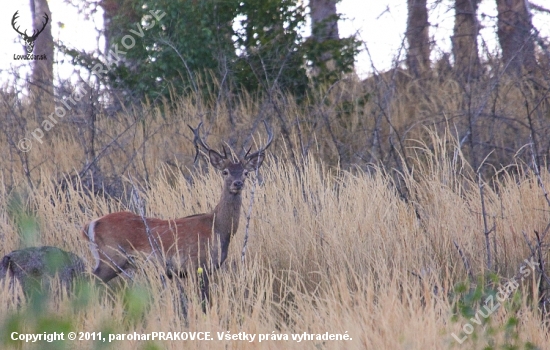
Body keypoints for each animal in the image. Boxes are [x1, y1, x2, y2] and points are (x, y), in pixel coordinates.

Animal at [82, 122, 274, 306]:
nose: (237, 183)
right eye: (225, 172)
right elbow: (204, 301)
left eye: (246, 172)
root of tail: (91, 224)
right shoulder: (197, 264)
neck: (218, 229)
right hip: (111, 256)